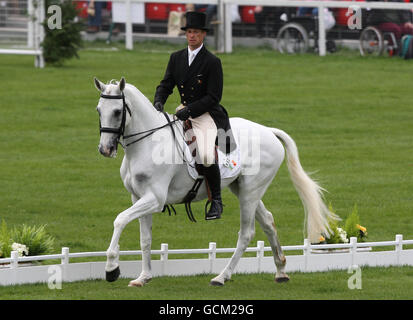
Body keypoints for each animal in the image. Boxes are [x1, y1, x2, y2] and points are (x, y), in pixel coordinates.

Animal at [94, 76, 338, 286]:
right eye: (98, 110)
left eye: (117, 111)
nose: (105, 149)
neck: (148, 143)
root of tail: (268, 131)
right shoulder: (138, 196)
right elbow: (145, 238)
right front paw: (143, 277)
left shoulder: (154, 198)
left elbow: (120, 220)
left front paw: (111, 269)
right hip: (244, 189)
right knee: (268, 221)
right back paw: (280, 271)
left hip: (250, 191)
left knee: (246, 233)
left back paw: (222, 277)